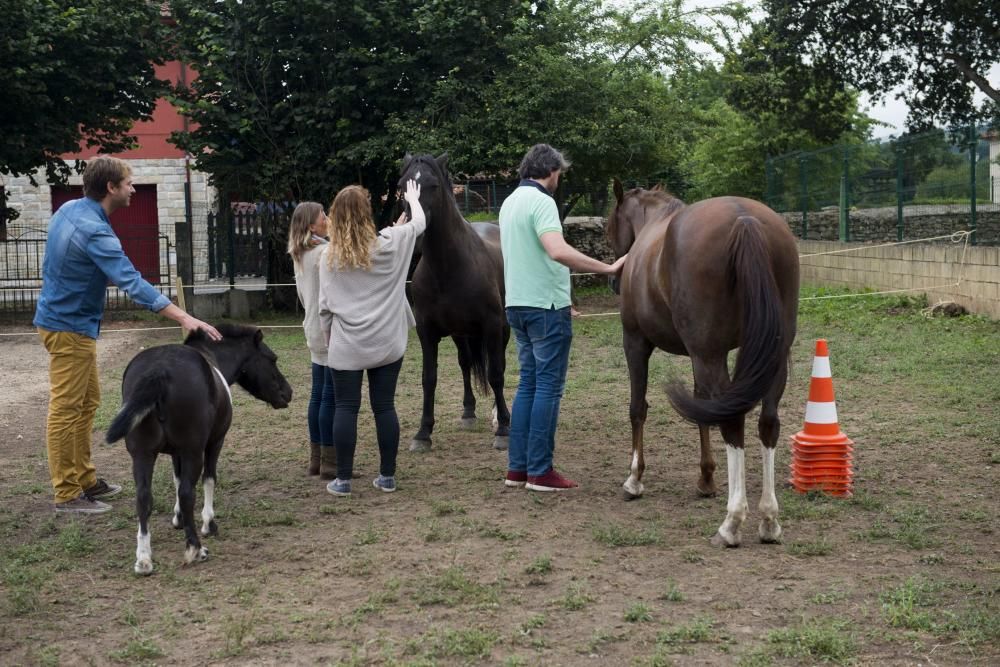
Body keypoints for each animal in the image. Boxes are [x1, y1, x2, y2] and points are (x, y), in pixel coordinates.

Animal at [106, 324, 292, 576]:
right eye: (272, 359)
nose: (288, 393)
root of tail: (159, 371)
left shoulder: (176, 453)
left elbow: (175, 481)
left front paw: (178, 519)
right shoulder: (213, 443)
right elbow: (208, 479)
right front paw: (208, 524)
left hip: (142, 454)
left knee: (143, 497)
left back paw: (144, 559)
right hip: (192, 451)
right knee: (187, 493)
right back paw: (195, 549)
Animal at [398, 154, 512, 452]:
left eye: (433, 185)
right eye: (402, 185)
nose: (414, 234)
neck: (449, 268)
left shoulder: (492, 325)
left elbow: (496, 373)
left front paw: (503, 430)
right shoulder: (426, 332)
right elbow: (429, 378)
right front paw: (423, 433)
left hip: (504, 328)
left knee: (500, 363)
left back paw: (499, 415)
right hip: (461, 333)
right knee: (465, 363)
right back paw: (468, 412)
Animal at [604, 179, 800, 548]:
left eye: (609, 228)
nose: (613, 279)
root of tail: (744, 219)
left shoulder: (636, 343)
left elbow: (638, 408)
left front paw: (634, 479)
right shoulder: (703, 356)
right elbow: (702, 412)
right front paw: (706, 479)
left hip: (708, 355)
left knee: (733, 421)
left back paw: (732, 523)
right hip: (770, 356)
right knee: (767, 422)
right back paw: (769, 520)